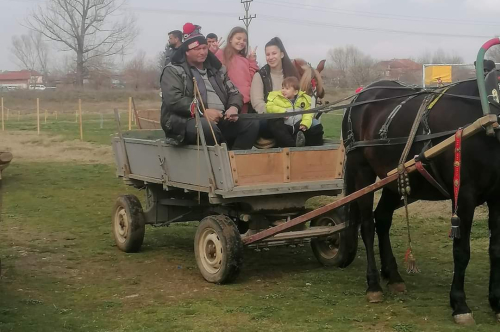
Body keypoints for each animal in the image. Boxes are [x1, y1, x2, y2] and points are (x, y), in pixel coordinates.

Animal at [342, 78, 500, 324]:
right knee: (367, 225)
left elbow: (495, 250)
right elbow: (461, 251)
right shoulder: (464, 194)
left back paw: (394, 275)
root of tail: (362, 94)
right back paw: (374, 284)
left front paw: (496, 302)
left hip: (394, 177)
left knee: (382, 219)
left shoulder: (497, 196)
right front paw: (460, 304)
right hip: (361, 170)